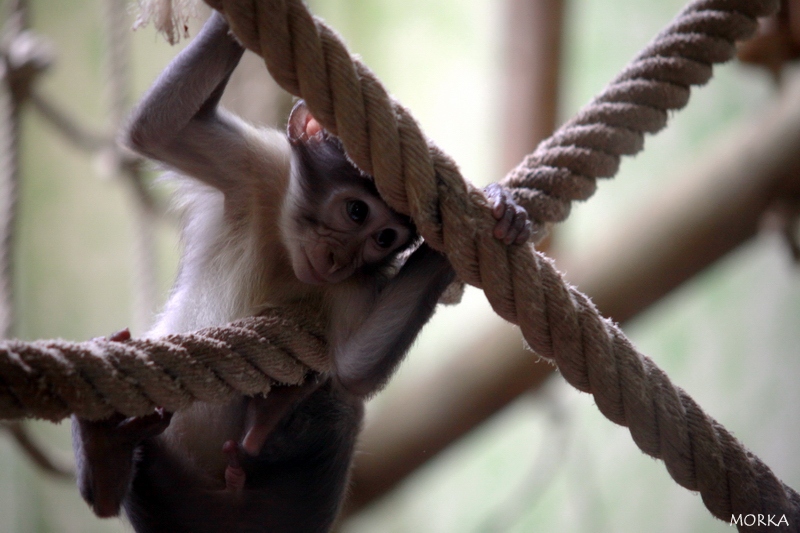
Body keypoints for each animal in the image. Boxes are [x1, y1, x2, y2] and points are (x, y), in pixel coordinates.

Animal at [70, 12, 532, 532]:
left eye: (385, 239)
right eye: (356, 211)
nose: (337, 260)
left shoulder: (355, 282)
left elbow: (353, 368)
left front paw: (473, 226)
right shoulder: (259, 167)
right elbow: (157, 131)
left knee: (340, 405)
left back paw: (260, 426)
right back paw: (107, 455)